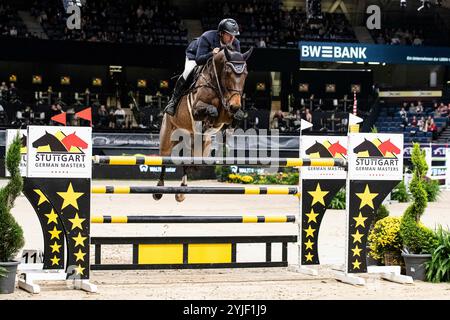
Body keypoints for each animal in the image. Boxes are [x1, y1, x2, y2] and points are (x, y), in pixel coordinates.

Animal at [155, 45, 253, 200]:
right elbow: (212, 110)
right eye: (228, 72)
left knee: (189, 160)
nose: (235, 105)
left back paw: (182, 191)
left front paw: (228, 129)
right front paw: (208, 122)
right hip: (167, 135)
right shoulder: (196, 109)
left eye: (245, 74)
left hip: (201, 146)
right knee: (164, 158)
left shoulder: (227, 113)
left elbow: (235, 117)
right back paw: (159, 190)